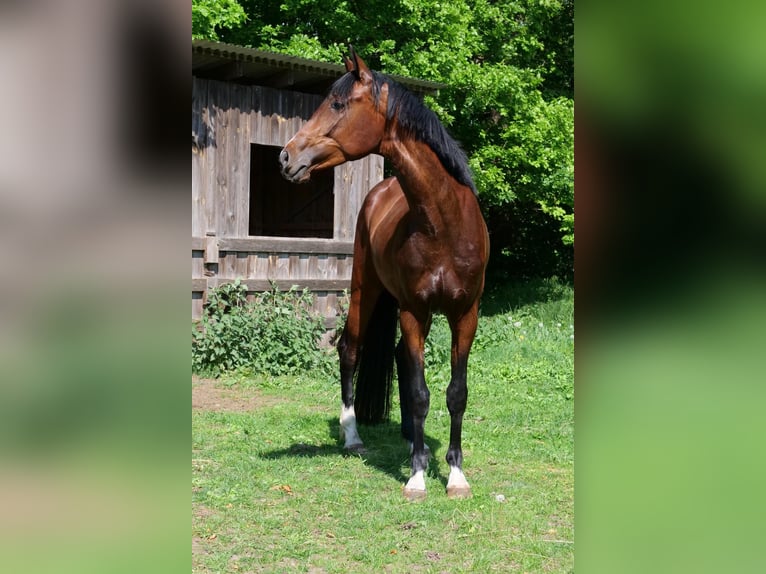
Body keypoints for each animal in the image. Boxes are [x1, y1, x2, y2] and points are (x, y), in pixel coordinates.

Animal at [279, 48, 489, 500]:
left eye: (338, 104)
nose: (286, 157)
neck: (443, 223)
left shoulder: (465, 314)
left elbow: (456, 393)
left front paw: (455, 474)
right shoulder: (413, 311)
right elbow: (420, 392)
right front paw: (417, 477)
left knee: (397, 360)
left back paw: (412, 440)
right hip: (366, 288)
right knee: (350, 351)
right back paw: (354, 436)